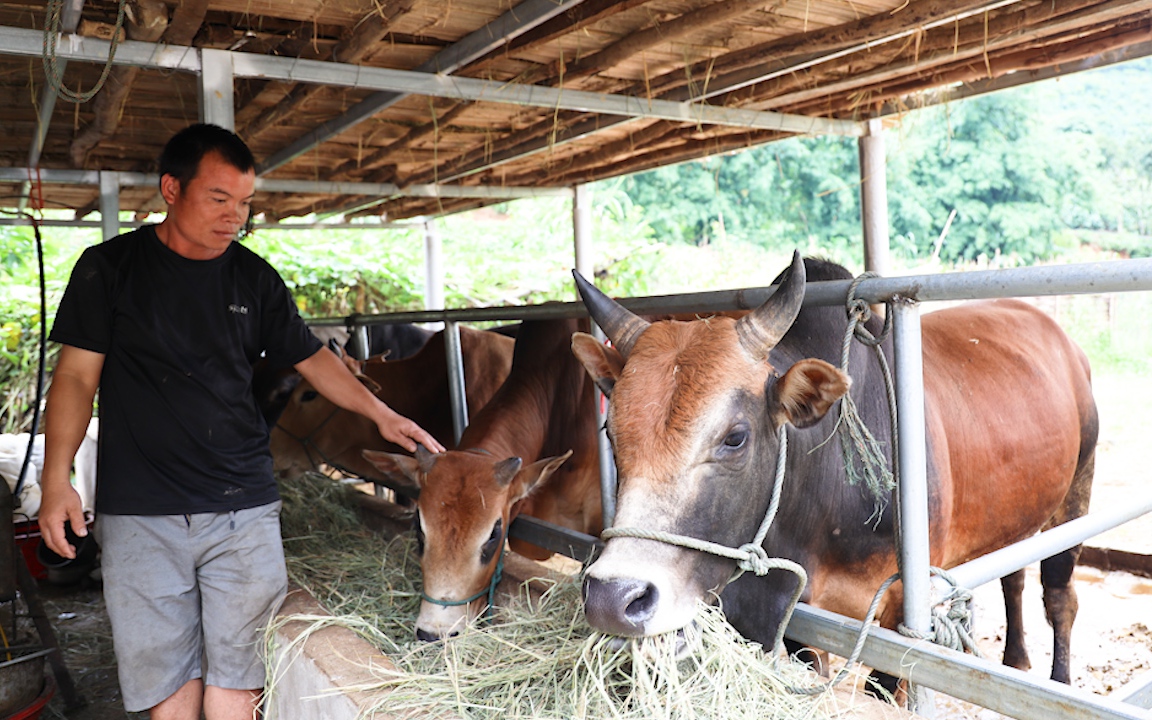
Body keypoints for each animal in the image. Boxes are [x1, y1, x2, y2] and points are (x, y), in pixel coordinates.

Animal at [576, 252, 1096, 686]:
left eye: (735, 437)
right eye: (610, 431)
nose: (613, 599)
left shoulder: (902, 609)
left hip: (1075, 499)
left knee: (1060, 597)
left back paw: (1059, 680)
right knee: (1015, 578)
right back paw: (1017, 660)